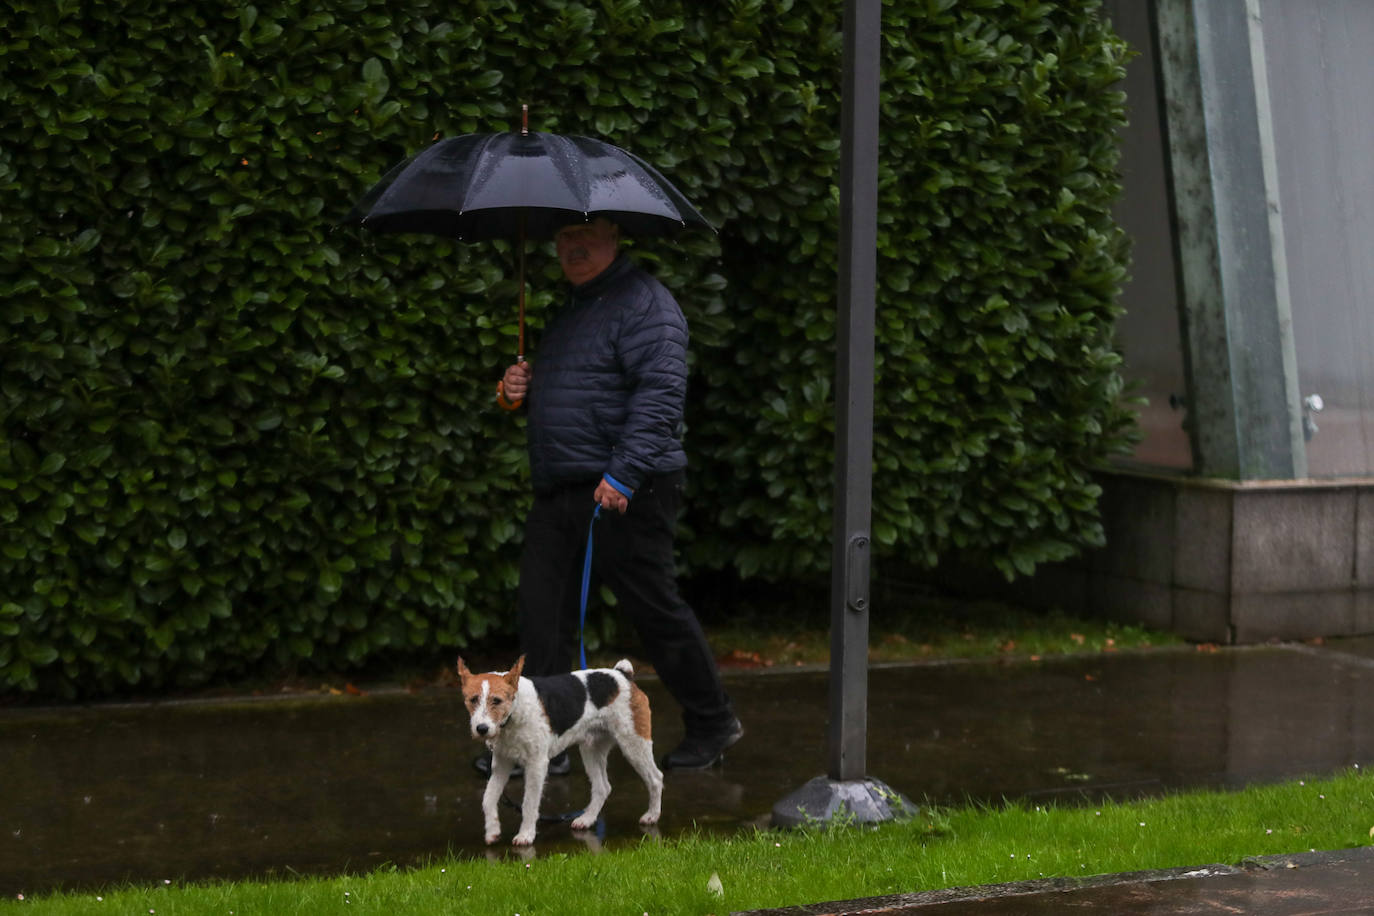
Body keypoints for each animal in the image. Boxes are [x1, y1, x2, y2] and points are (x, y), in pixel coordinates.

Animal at [458, 659, 662, 845]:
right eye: (473, 699)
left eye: (497, 700)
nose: (482, 729)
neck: (514, 712)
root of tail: (622, 674)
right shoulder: (502, 763)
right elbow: (488, 798)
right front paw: (493, 831)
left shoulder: (536, 764)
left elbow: (529, 803)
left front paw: (526, 835)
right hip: (591, 749)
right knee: (603, 787)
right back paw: (586, 819)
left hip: (634, 744)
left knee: (656, 778)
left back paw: (652, 816)